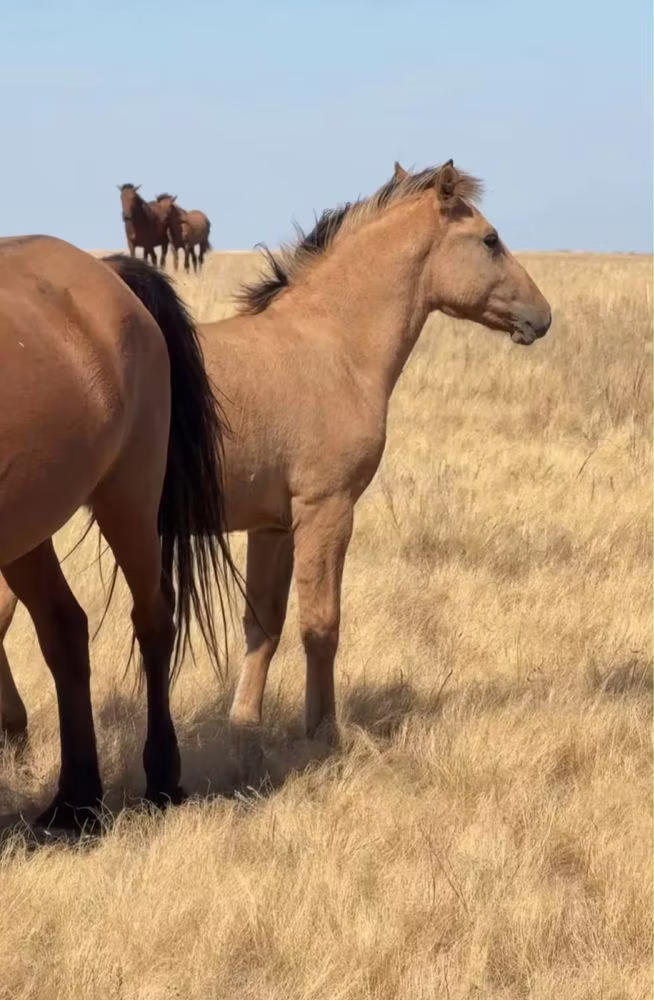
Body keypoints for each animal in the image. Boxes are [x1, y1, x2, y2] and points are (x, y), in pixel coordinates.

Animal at [0, 158, 551, 750]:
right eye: (490, 239)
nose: (543, 317)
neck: (332, 345)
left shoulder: (273, 526)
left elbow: (263, 624)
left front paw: (245, 722)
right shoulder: (326, 510)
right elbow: (321, 625)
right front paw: (323, 731)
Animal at [0, 237, 235, 830]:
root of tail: (104, 270)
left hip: (128, 493)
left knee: (153, 619)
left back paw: (160, 781)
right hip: (30, 525)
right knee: (64, 628)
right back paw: (76, 801)